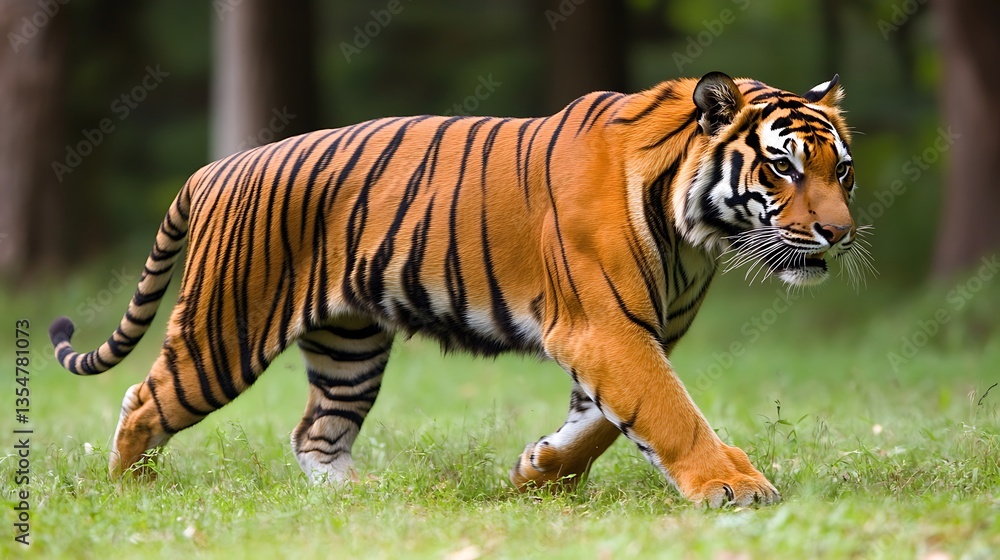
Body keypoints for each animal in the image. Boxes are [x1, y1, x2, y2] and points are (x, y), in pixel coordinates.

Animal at [50, 71, 869, 508]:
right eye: (784, 166)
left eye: (842, 170)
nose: (840, 233)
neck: (696, 232)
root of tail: (213, 168)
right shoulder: (605, 329)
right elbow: (670, 412)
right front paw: (732, 486)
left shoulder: (629, 337)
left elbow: (605, 421)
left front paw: (540, 471)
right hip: (227, 329)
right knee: (144, 399)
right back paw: (131, 489)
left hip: (350, 347)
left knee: (315, 430)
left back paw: (359, 497)